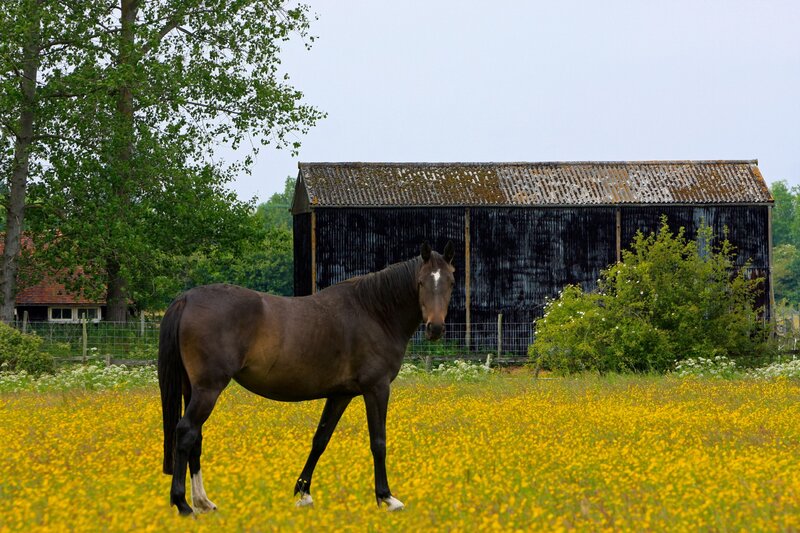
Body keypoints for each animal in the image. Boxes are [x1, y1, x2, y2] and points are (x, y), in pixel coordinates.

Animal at [158, 241, 456, 515]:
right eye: (421, 282)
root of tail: (187, 298)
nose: (435, 327)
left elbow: (320, 439)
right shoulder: (377, 389)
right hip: (208, 389)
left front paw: (303, 492)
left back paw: (203, 502)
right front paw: (387, 497)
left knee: (196, 437)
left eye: (451, 282)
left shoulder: (340, 395)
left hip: (193, 389)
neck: (374, 312)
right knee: (186, 432)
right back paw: (183, 504)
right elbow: (378, 442)